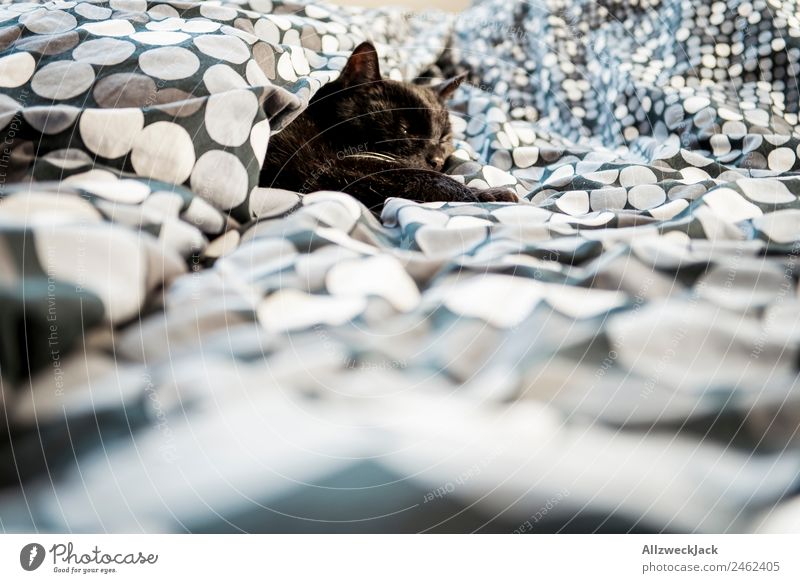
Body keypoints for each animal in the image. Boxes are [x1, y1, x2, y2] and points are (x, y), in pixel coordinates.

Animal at [260, 42, 516, 212]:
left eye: (443, 138)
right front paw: (491, 194)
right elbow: (425, 178)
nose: (436, 160)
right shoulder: (332, 169)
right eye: (405, 129)